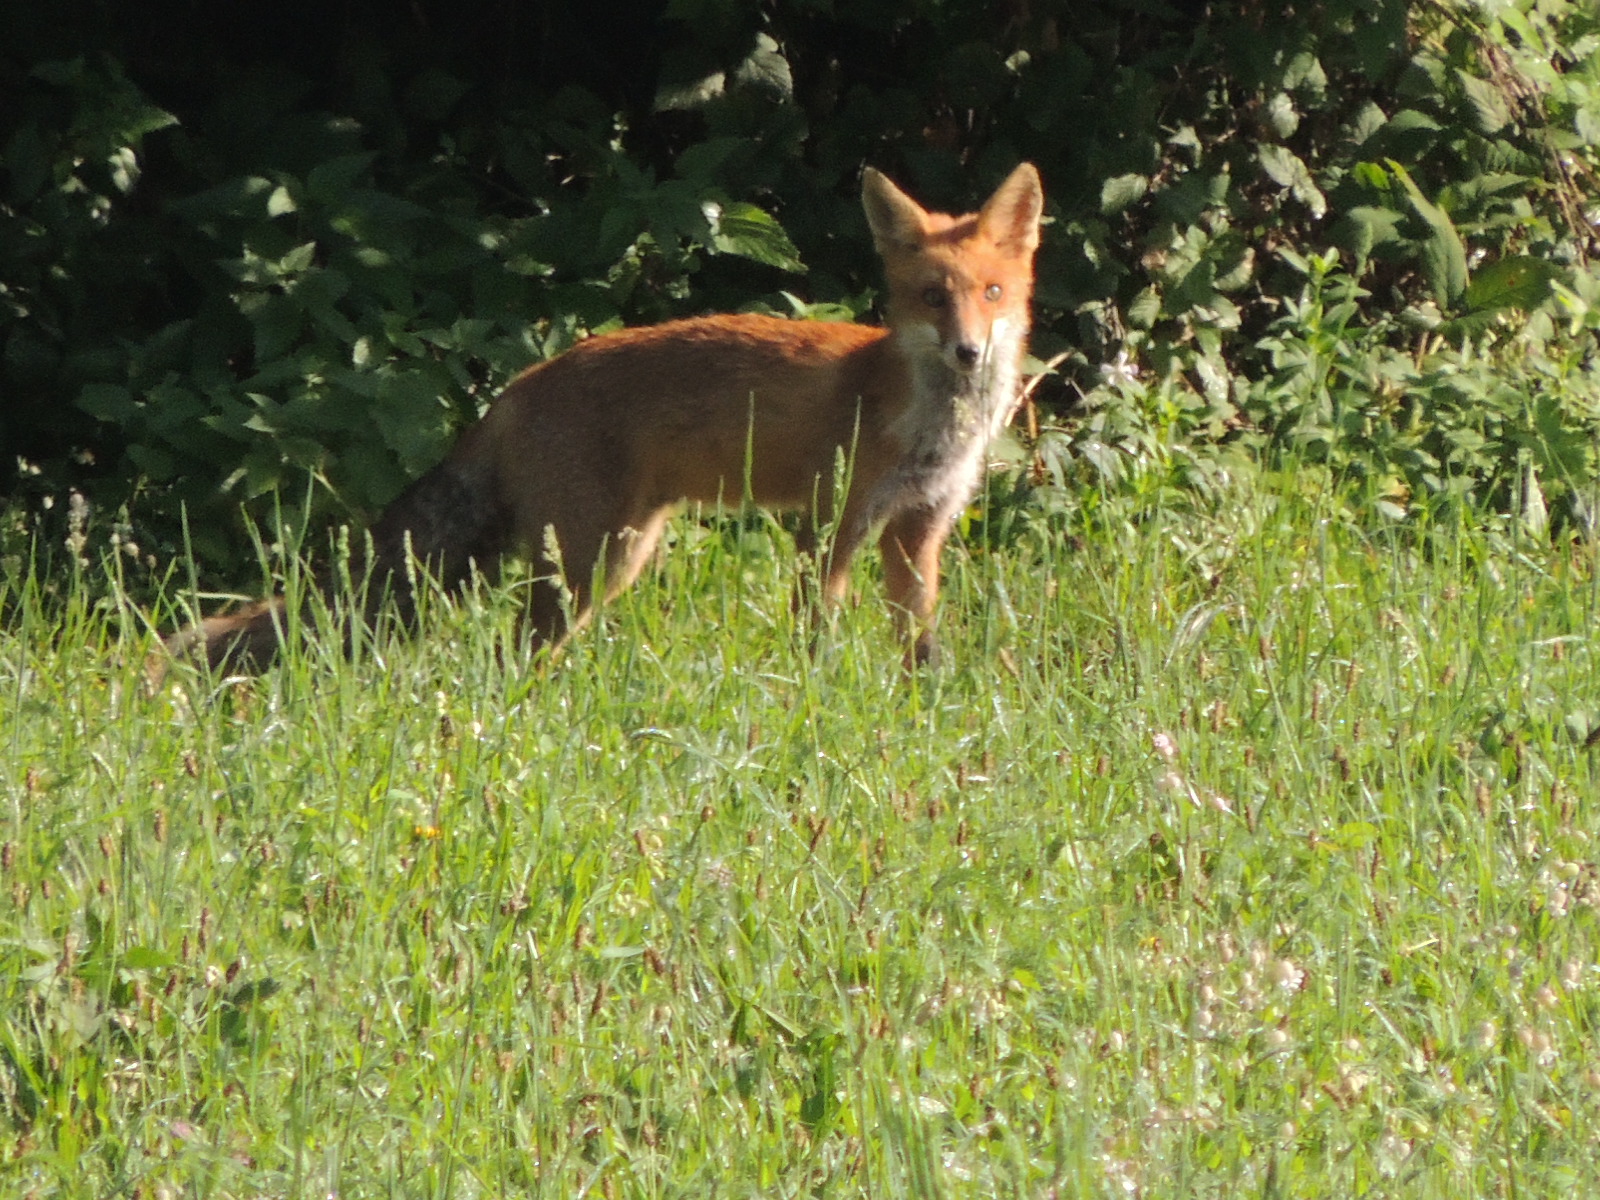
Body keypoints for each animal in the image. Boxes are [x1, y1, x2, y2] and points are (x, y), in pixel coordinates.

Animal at [156, 162, 1044, 678]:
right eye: (932, 297)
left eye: (991, 293)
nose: (969, 351)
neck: (922, 426)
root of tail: (514, 387)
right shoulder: (830, 527)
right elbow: (814, 636)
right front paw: (813, 700)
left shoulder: (917, 534)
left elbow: (920, 646)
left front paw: (919, 709)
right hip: (589, 563)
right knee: (513, 653)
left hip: (617, 554)